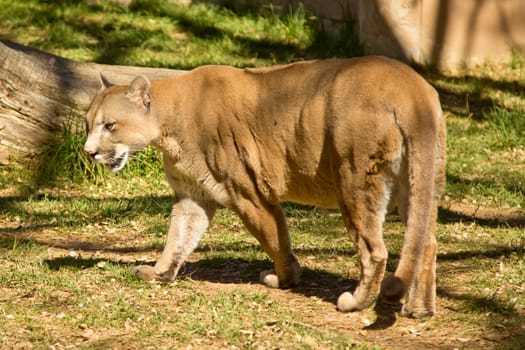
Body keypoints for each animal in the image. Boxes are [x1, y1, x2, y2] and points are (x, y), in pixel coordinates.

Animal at [84, 56, 444, 318]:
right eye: (87, 125)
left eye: (110, 125)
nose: (88, 152)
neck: (167, 124)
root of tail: (410, 86)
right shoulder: (192, 196)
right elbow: (178, 238)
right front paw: (160, 274)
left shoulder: (248, 195)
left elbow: (275, 240)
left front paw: (285, 279)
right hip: (418, 183)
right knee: (426, 241)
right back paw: (420, 309)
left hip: (354, 181)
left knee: (375, 251)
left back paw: (355, 303)